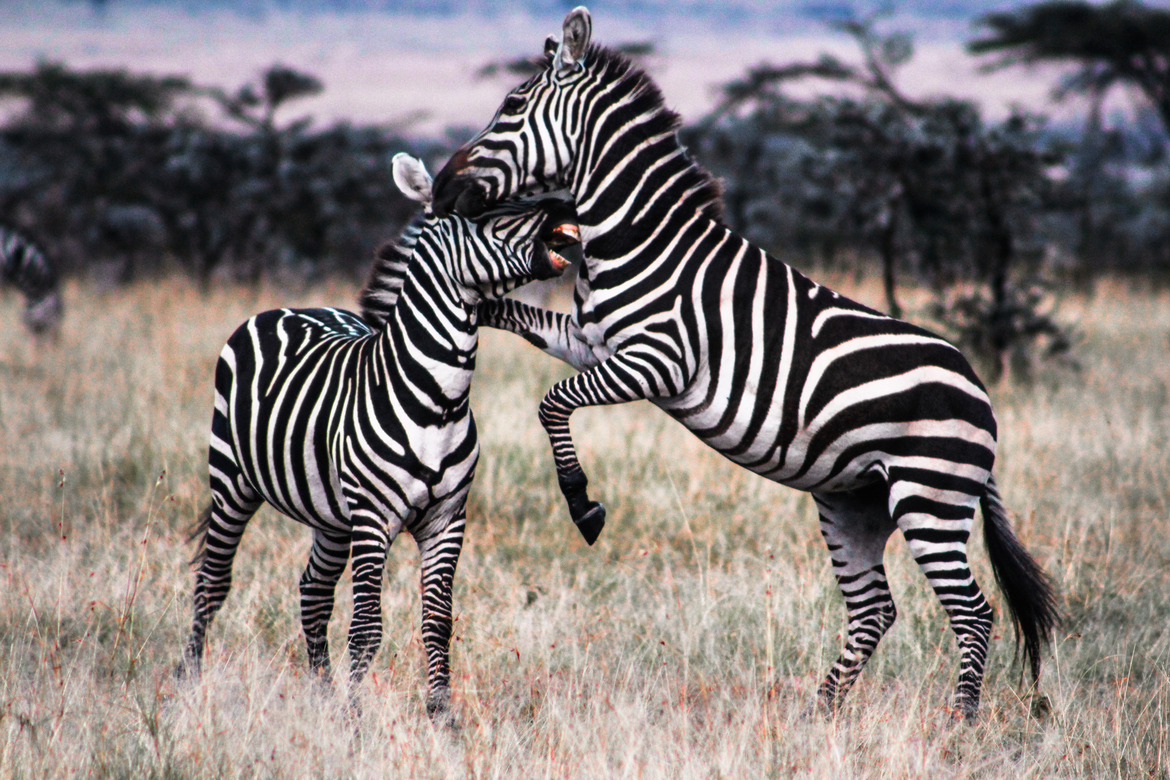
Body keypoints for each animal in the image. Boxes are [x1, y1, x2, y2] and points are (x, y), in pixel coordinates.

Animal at [175, 153, 582, 720]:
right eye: (483, 209)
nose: (567, 206)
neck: (438, 401)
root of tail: (291, 307)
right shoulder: (373, 518)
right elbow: (367, 628)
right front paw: (353, 720)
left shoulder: (447, 519)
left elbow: (437, 622)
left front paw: (440, 716)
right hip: (232, 480)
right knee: (213, 581)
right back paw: (190, 679)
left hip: (330, 516)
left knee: (313, 593)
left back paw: (321, 692)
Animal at [428, 8, 1059, 719]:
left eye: (511, 106)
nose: (441, 188)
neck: (638, 240)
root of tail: (979, 387)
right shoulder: (591, 340)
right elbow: (518, 324)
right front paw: (459, 302)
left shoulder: (656, 361)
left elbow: (551, 402)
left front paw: (582, 503)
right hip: (856, 500)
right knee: (874, 610)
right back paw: (820, 715)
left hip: (931, 495)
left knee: (973, 613)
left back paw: (958, 722)